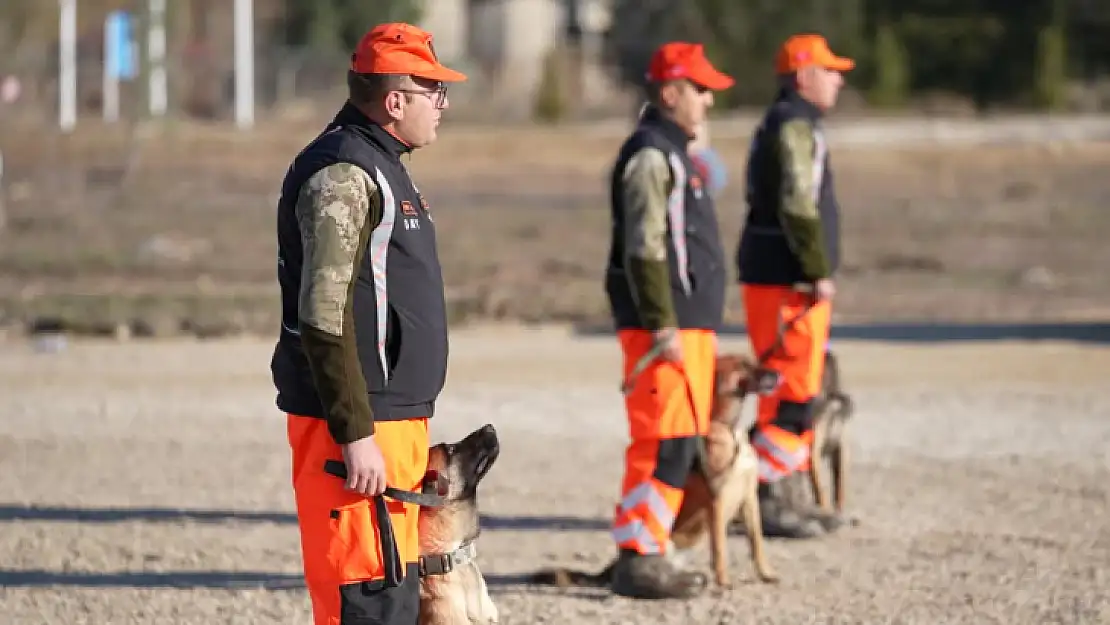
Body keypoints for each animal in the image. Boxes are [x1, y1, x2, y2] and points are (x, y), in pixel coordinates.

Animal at [530, 355, 777, 590]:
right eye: (743, 364)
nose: (777, 374)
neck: (728, 429)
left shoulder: (749, 500)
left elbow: (757, 542)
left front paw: (766, 573)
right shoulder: (716, 500)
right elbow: (720, 550)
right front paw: (724, 581)